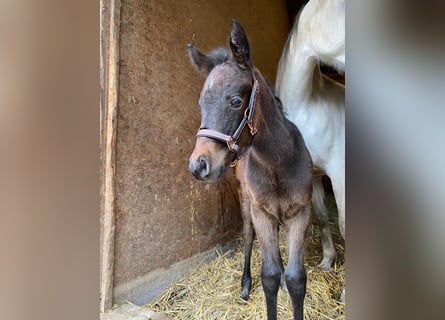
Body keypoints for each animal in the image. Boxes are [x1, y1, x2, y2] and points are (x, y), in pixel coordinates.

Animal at [187, 20, 312, 320]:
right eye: (201, 103)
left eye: (235, 101)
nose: (198, 165)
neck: (276, 162)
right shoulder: (261, 212)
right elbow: (270, 276)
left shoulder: (301, 212)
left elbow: (295, 279)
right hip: (247, 202)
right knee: (247, 236)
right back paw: (245, 284)